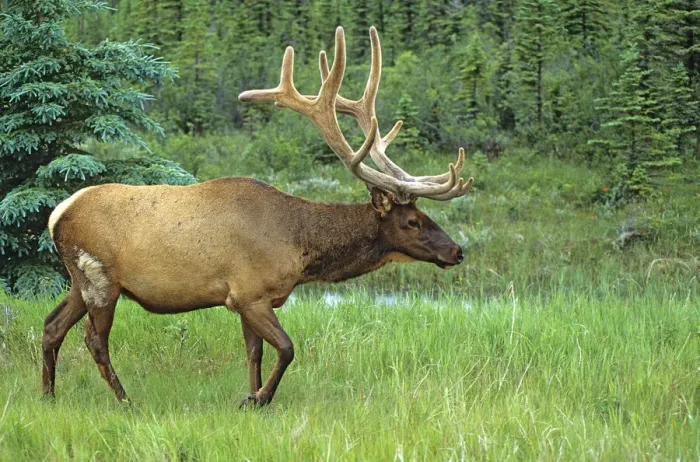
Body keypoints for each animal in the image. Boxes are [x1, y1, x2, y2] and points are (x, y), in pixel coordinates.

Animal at [42, 26, 473, 407]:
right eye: (412, 221)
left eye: (424, 213)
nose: (457, 251)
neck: (299, 248)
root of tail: (57, 215)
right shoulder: (250, 294)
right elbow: (286, 348)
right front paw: (260, 398)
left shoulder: (248, 299)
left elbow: (255, 354)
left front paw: (250, 395)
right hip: (99, 279)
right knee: (94, 339)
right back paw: (124, 399)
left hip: (79, 282)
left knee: (51, 326)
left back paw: (48, 395)